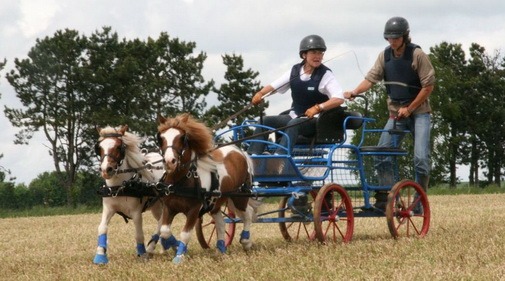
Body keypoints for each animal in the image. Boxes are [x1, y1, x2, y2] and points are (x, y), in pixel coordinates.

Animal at [93, 124, 164, 262]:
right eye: (99, 148)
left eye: (119, 147)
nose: (106, 170)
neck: (119, 187)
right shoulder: (108, 208)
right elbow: (102, 228)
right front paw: (100, 255)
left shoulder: (136, 212)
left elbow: (139, 234)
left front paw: (142, 254)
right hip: (156, 207)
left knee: (162, 223)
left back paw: (151, 248)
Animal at [157, 113, 258, 262]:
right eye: (161, 138)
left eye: (182, 138)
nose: (170, 161)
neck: (183, 179)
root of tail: (238, 150)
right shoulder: (169, 207)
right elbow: (164, 232)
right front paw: (174, 245)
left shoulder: (194, 210)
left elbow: (185, 234)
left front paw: (179, 256)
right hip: (216, 202)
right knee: (221, 223)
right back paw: (221, 248)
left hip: (239, 196)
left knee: (248, 214)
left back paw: (246, 241)